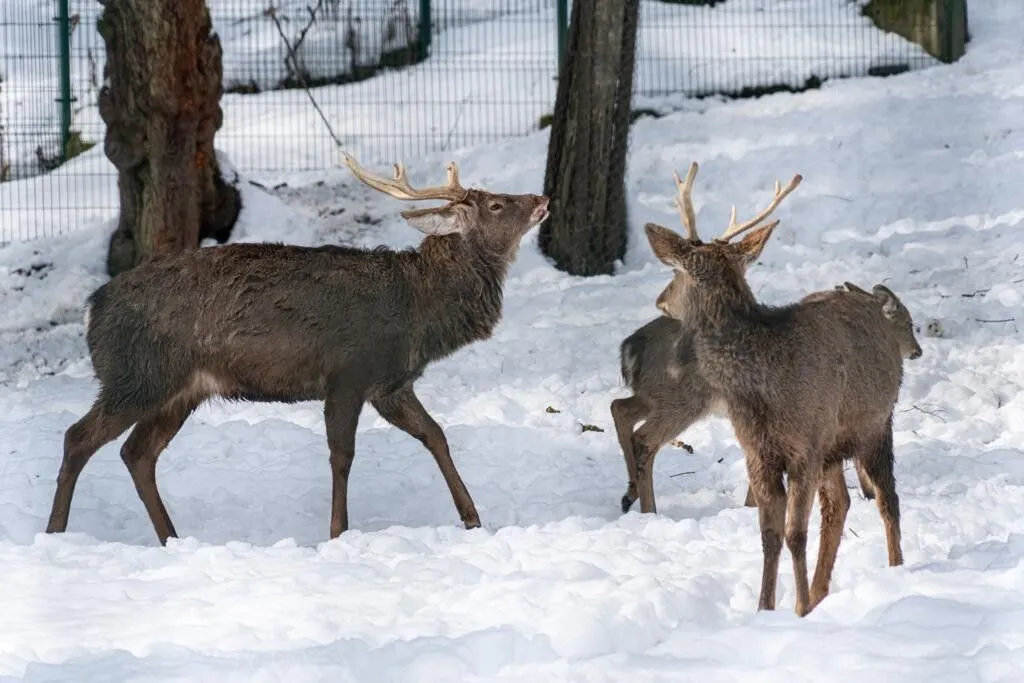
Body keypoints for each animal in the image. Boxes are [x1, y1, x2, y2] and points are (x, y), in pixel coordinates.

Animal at [44, 153, 552, 544]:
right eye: (496, 204)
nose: (542, 199)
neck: (419, 313)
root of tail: (93, 308)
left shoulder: (391, 386)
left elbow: (436, 435)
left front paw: (472, 518)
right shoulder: (348, 373)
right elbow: (342, 456)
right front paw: (338, 533)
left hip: (180, 390)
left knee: (137, 453)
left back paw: (172, 537)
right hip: (136, 375)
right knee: (77, 437)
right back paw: (55, 533)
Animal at [643, 162, 917, 618]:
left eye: (676, 271)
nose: (660, 300)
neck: (763, 389)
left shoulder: (804, 446)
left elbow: (794, 534)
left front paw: (799, 609)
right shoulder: (759, 451)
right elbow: (769, 534)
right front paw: (765, 608)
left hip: (875, 422)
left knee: (886, 498)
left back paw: (895, 571)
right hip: (832, 447)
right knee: (839, 505)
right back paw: (823, 590)